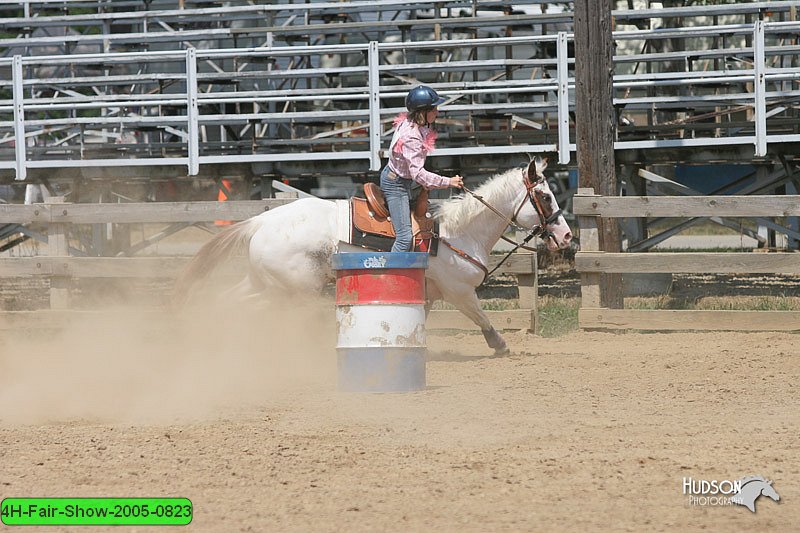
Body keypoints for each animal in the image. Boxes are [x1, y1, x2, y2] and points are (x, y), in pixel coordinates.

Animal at [173, 155, 576, 354]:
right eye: (545, 196)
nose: (567, 235)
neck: (458, 231)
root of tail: (260, 221)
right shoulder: (459, 291)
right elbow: (482, 318)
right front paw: (501, 346)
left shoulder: (428, 293)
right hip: (293, 289)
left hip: (263, 282)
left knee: (227, 302)